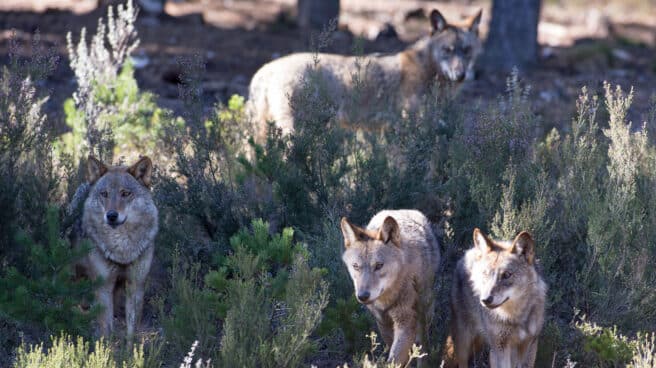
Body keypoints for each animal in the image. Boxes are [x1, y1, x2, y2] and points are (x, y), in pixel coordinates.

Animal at [71, 154, 159, 340]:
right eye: (104, 194)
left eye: (125, 193)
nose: (111, 215)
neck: (122, 250)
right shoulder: (103, 287)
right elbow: (106, 330)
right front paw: (104, 348)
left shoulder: (136, 286)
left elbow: (131, 332)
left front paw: (132, 349)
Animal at [338, 208, 440, 366]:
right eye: (356, 266)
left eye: (379, 265)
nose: (363, 296)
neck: (387, 299)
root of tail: (401, 210)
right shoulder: (382, 321)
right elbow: (392, 349)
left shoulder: (406, 320)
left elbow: (396, 358)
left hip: (425, 308)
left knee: (423, 341)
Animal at [446, 229, 548, 366]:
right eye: (485, 274)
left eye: (506, 275)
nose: (485, 300)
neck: (516, 316)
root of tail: (468, 252)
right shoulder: (500, 348)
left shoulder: (530, 344)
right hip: (465, 340)